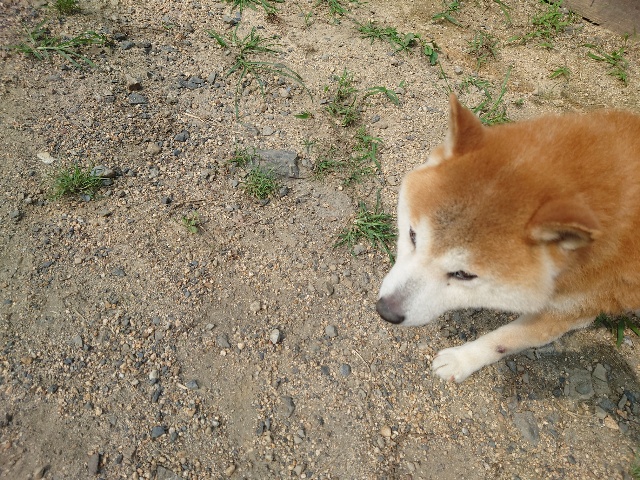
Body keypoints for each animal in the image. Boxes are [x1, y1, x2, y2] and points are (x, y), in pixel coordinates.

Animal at [376, 94, 640, 382]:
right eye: (412, 235)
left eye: (464, 274)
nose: (386, 311)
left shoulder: (575, 308)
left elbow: (507, 337)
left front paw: (460, 359)